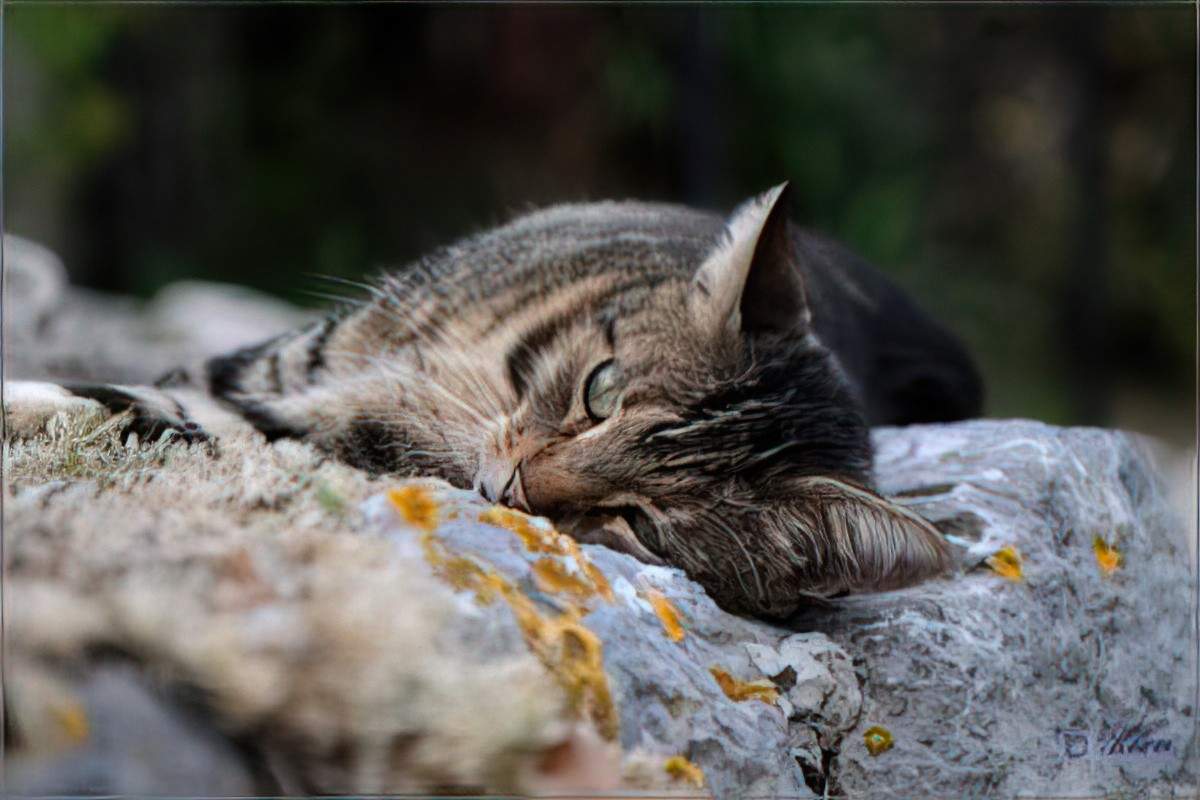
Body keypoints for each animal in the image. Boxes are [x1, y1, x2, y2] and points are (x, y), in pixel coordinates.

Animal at [21, 183, 984, 618]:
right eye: (601, 389)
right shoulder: (305, 352)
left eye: (642, 523)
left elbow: (178, 411)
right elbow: (185, 388)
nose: (517, 487)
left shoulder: (334, 421)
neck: (479, 380)